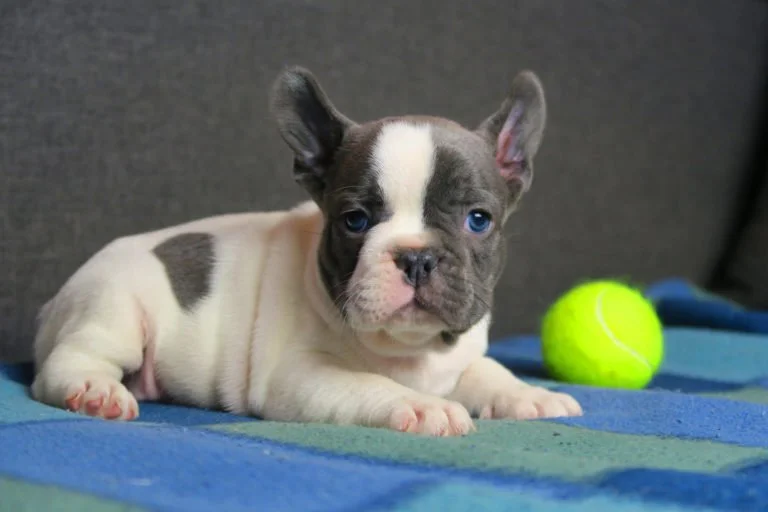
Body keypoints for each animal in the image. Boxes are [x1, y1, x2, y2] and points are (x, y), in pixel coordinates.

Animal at [30, 66, 584, 436]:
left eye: (478, 220)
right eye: (354, 221)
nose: (416, 257)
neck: (412, 352)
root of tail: (54, 302)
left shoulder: (460, 356)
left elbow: (487, 370)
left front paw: (529, 394)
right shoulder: (299, 377)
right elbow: (369, 386)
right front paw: (422, 407)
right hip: (114, 310)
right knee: (65, 365)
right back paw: (96, 391)